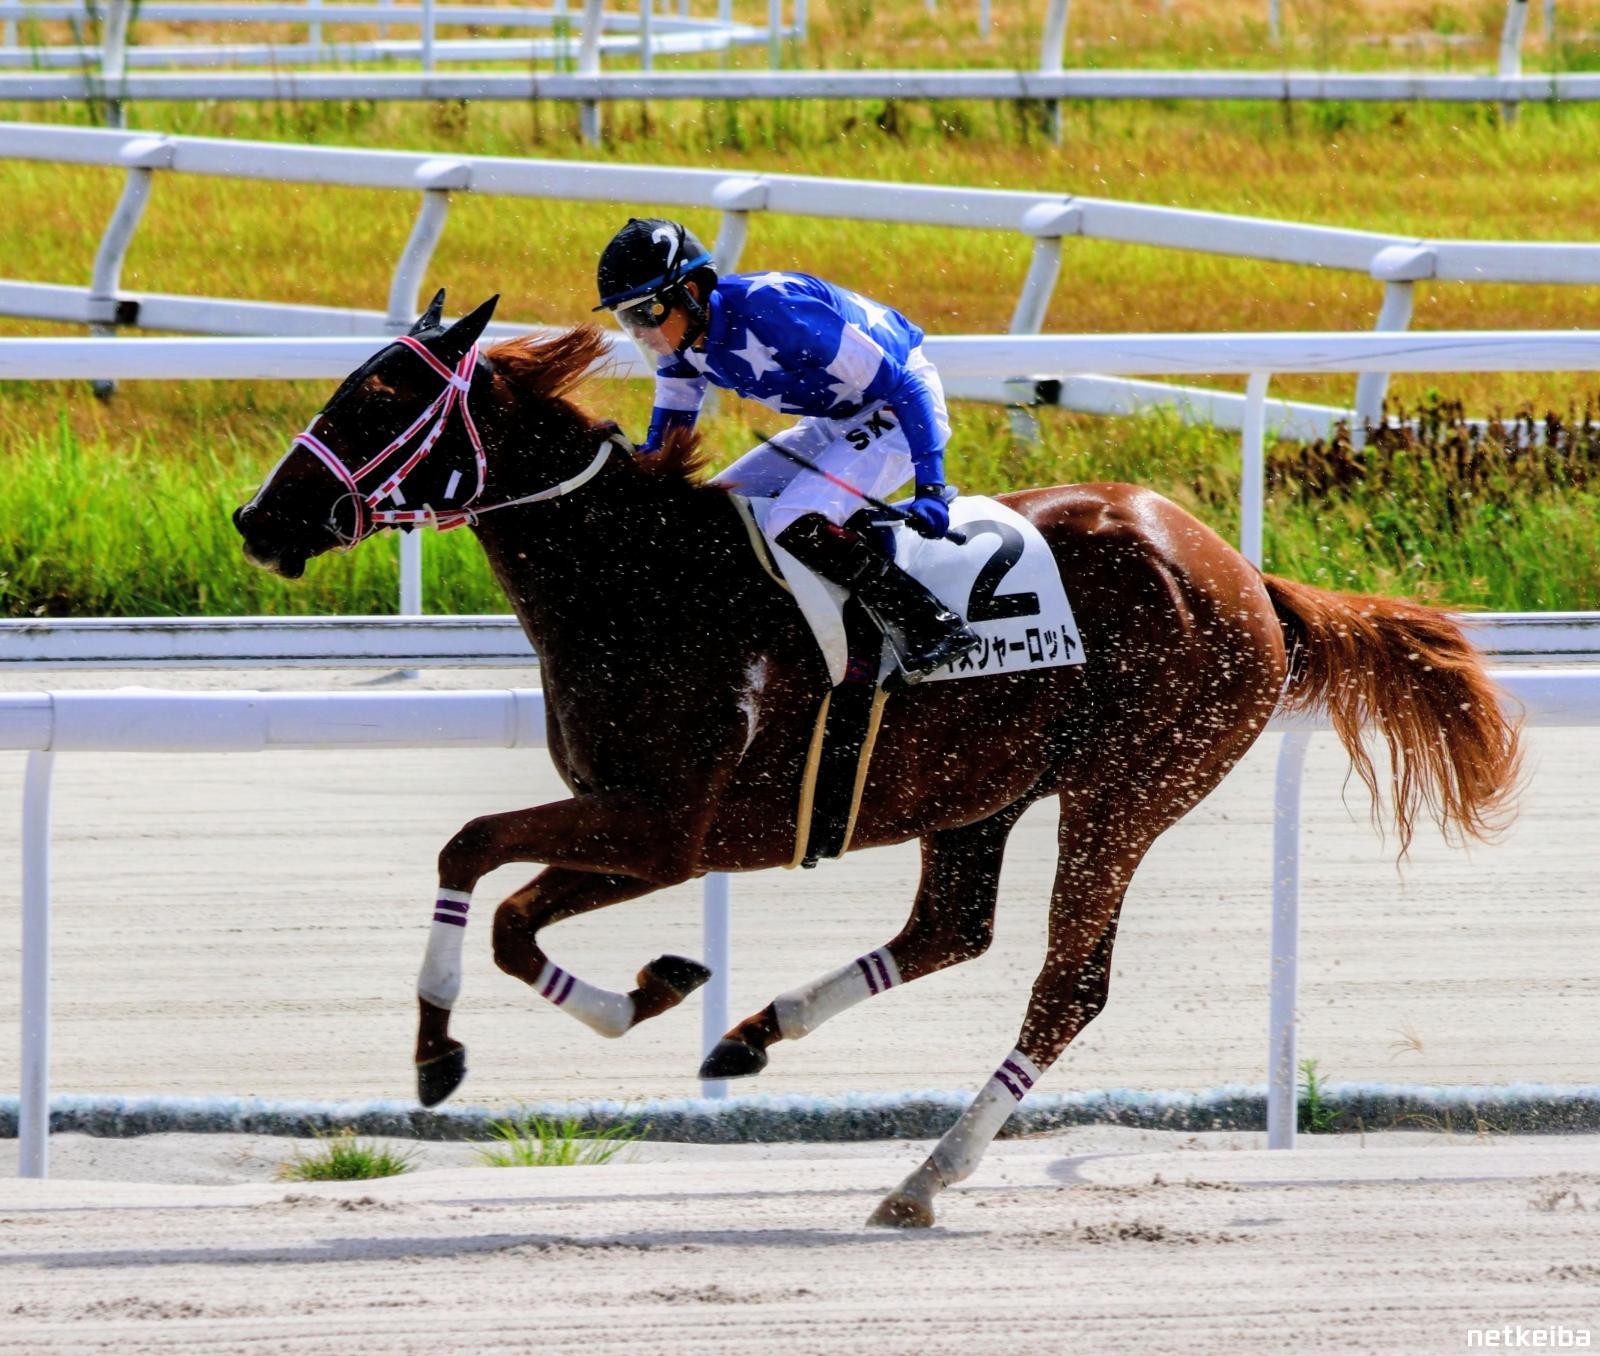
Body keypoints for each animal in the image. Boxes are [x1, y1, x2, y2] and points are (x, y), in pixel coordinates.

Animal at [234, 293, 1521, 1228]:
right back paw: (759, 1033)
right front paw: (656, 989)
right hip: (984, 790)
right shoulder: (638, 821)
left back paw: (925, 1175)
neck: (639, 583)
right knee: (952, 928)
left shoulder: (666, 824)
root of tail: (1242, 574)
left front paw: (441, 1052)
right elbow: (507, 915)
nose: (258, 521)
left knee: (1065, 985)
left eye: (381, 400)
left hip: (1125, 791)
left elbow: (472, 859)